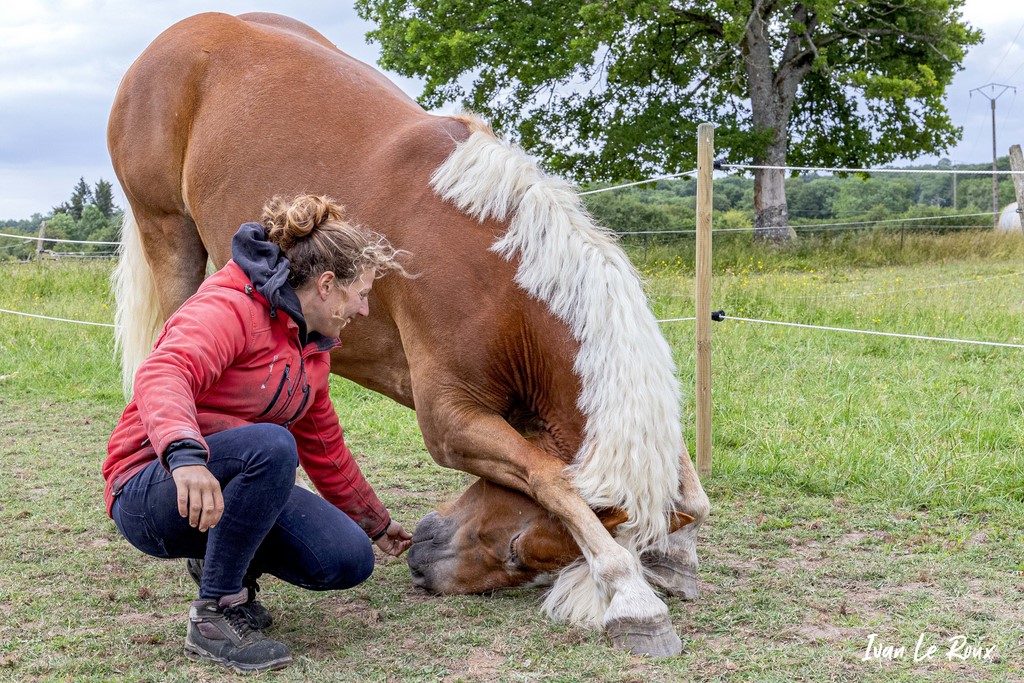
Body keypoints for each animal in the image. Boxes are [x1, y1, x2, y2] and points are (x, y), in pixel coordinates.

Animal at [108, 12, 708, 655]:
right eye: (519, 554)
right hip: (169, 237)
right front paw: (630, 595)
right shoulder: (449, 420)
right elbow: (553, 480)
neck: (496, 269)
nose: (422, 556)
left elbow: (690, 496)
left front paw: (672, 558)